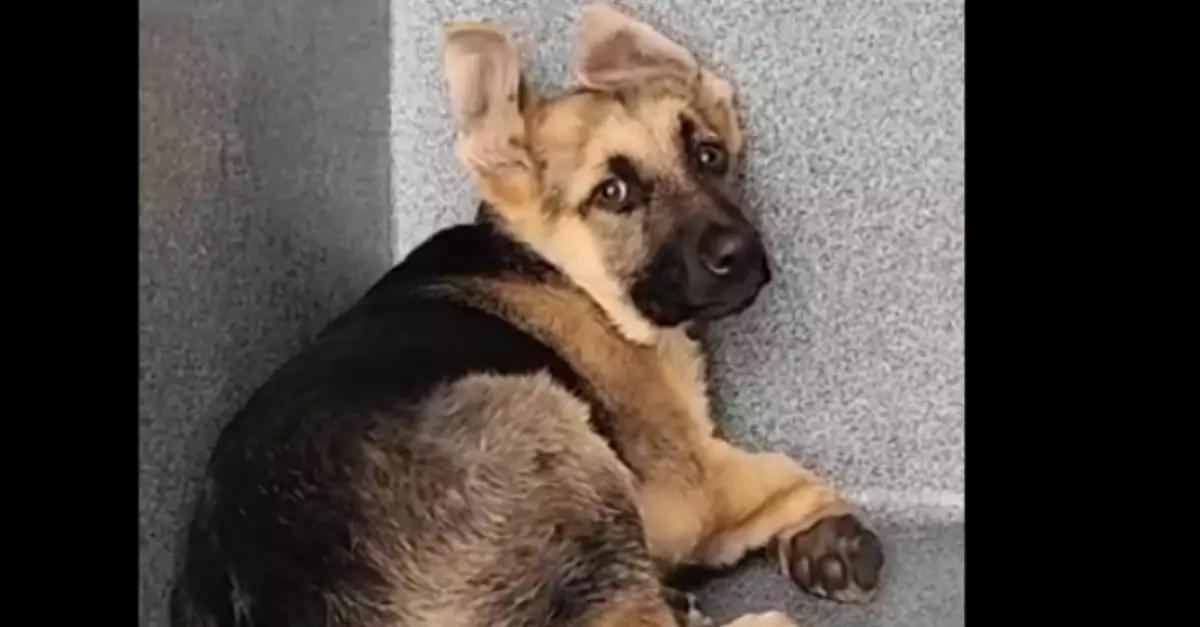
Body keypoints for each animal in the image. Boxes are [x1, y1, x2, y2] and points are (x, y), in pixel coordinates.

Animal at [166, 6, 883, 624]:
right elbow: (785, 471)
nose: (743, 252)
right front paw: (825, 526)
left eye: (708, 155)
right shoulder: (688, 484)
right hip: (547, 422)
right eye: (613, 192)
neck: (565, 273)